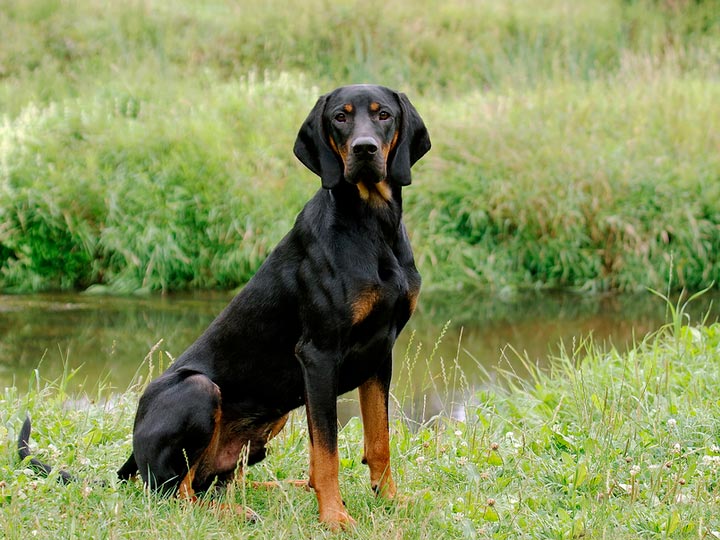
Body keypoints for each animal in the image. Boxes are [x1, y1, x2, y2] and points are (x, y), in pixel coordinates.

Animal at [20, 84, 430, 529]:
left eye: (384, 114)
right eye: (340, 116)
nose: (365, 149)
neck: (372, 227)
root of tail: (130, 459)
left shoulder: (380, 352)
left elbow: (379, 442)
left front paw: (390, 500)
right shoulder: (318, 355)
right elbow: (327, 453)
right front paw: (335, 516)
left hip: (269, 420)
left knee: (213, 481)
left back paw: (280, 489)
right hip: (200, 390)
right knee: (172, 492)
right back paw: (237, 511)